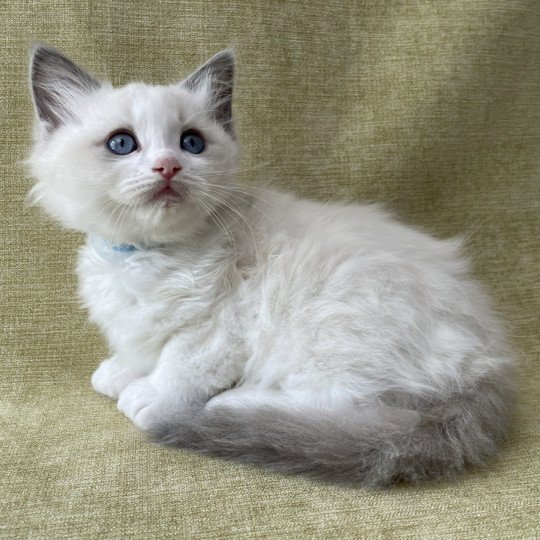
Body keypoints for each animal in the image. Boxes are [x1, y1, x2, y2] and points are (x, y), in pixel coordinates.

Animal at [28, 44, 516, 488]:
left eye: (191, 142)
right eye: (122, 143)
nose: (168, 166)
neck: (146, 255)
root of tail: (489, 362)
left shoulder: (217, 331)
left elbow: (179, 365)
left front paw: (149, 394)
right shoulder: (137, 318)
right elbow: (140, 345)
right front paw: (122, 369)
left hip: (334, 327)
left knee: (351, 406)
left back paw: (234, 405)